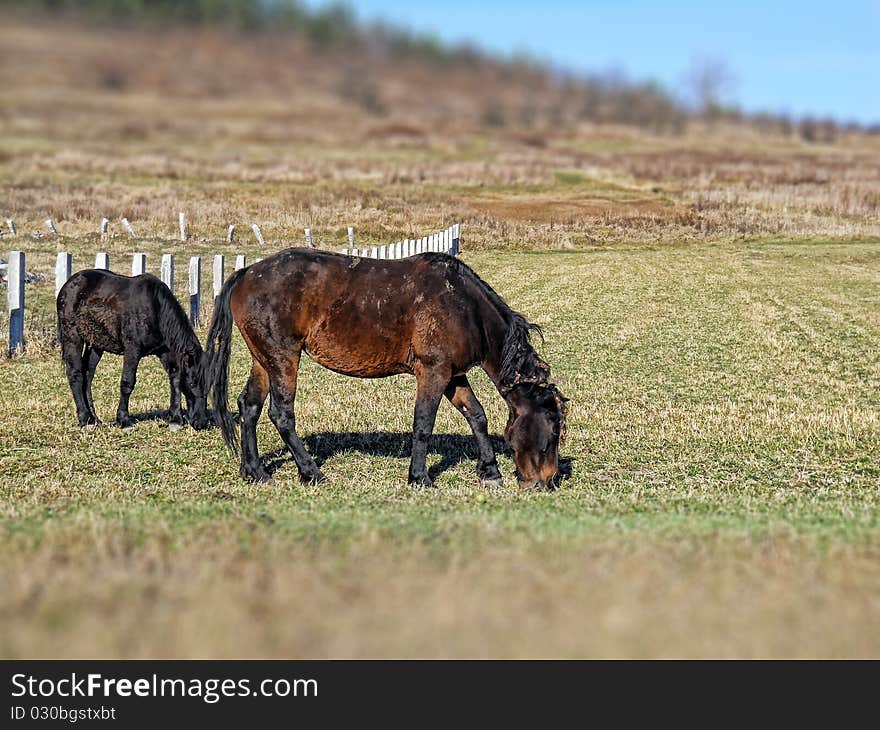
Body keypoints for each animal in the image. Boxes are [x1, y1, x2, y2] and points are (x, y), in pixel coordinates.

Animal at [58, 268, 210, 430]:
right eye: (193, 383)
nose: (201, 422)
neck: (155, 308)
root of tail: (69, 283)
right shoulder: (132, 350)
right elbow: (127, 382)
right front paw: (124, 420)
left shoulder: (165, 351)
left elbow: (175, 378)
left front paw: (175, 419)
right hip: (72, 337)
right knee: (76, 374)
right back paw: (85, 419)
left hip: (96, 344)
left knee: (88, 375)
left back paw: (95, 419)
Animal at [204, 246, 568, 490]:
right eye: (552, 432)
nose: (547, 482)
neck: (465, 307)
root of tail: (247, 274)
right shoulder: (433, 372)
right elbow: (423, 423)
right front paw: (419, 477)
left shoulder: (453, 375)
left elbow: (476, 415)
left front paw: (490, 471)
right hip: (283, 358)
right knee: (281, 414)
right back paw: (311, 473)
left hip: (263, 360)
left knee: (249, 407)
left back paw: (254, 471)